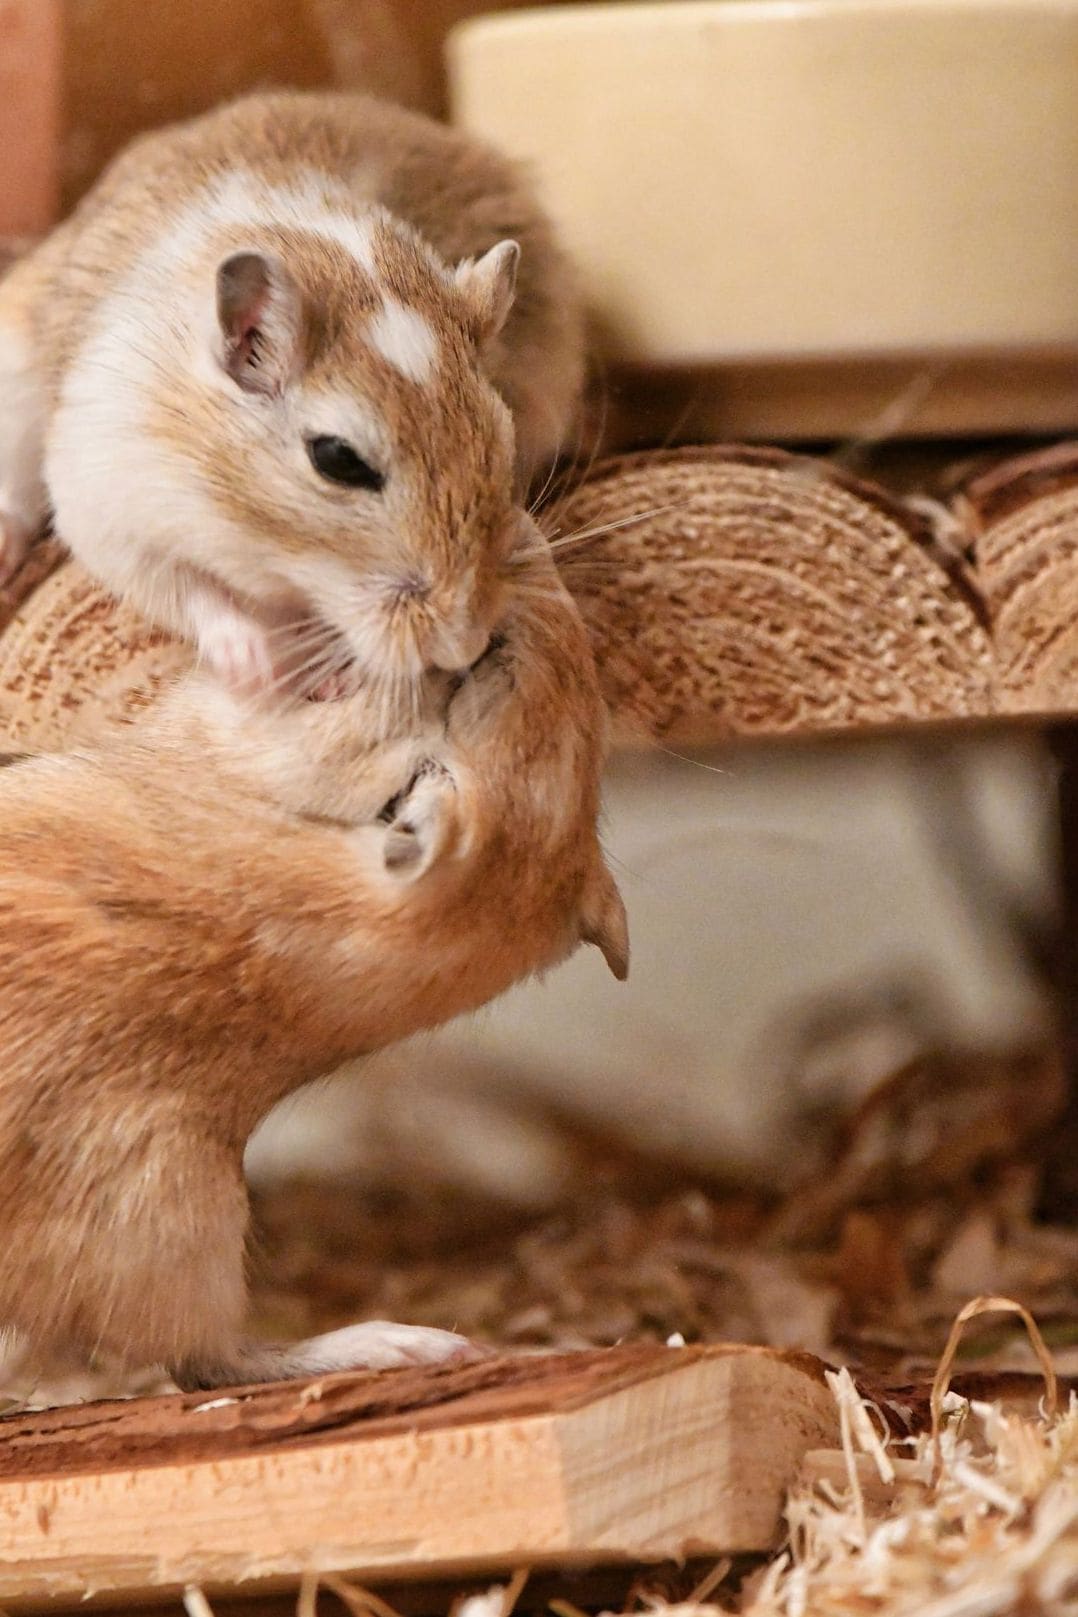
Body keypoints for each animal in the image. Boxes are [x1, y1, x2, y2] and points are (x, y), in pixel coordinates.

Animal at [0, 91, 585, 694]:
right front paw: (262, 672)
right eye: (338, 460)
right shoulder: (109, 511)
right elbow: (193, 594)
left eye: (502, 441)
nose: (464, 646)